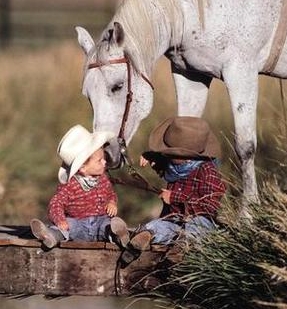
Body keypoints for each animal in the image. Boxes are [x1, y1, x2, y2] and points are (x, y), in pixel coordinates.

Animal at [75, 0, 287, 205]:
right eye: (87, 96)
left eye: (117, 86)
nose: (105, 153)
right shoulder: (191, 75)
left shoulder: (241, 71)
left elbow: (245, 147)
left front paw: (248, 211)